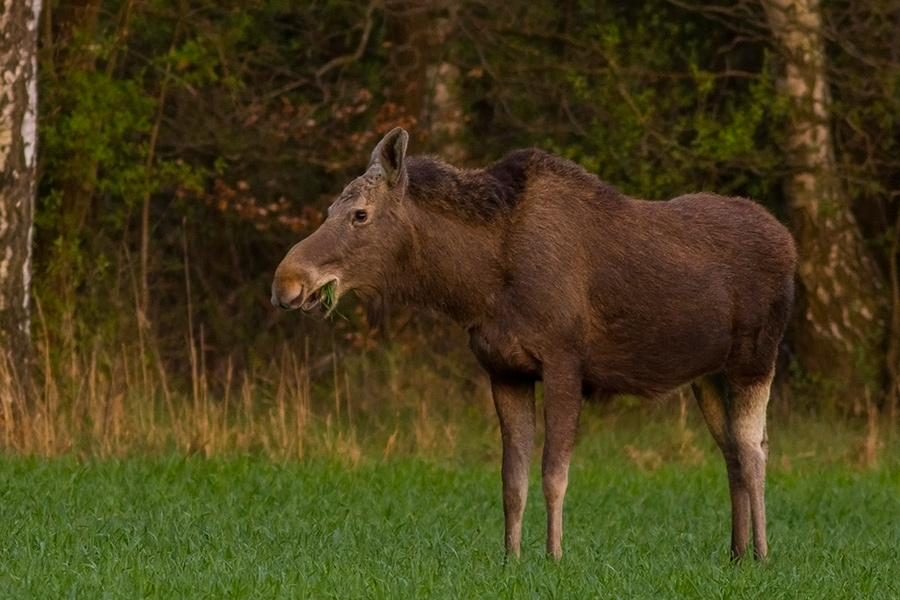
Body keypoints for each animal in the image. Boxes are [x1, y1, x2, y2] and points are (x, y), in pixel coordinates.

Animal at [272, 127, 796, 564]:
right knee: (731, 451)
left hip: (756, 359)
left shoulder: (564, 363)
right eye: (329, 211)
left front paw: (554, 556)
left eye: (360, 214)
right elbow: (512, 477)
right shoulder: (505, 370)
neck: (476, 285)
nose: (286, 282)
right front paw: (512, 557)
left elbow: (553, 473)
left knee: (754, 450)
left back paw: (762, 555)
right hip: (708, 375)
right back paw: (735, 552)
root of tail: (790, 243)